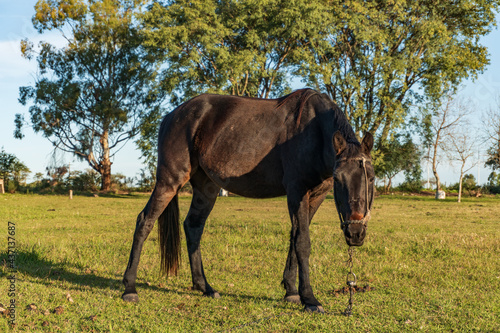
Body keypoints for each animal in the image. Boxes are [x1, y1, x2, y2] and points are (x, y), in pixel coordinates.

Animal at [123, 87, 374, 312]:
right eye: (339, 179)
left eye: (371, 178)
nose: (355, 233)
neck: (314, 132)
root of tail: (172, 115)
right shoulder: (297, 191)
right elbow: (302, 242)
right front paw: (309, 299)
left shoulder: (317, 195)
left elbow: (294, 239)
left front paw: (291, 292)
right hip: (169, 181)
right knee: (145, 221)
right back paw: (130, 288)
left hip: (206, 188)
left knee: (193, 227)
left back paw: (205, 287)